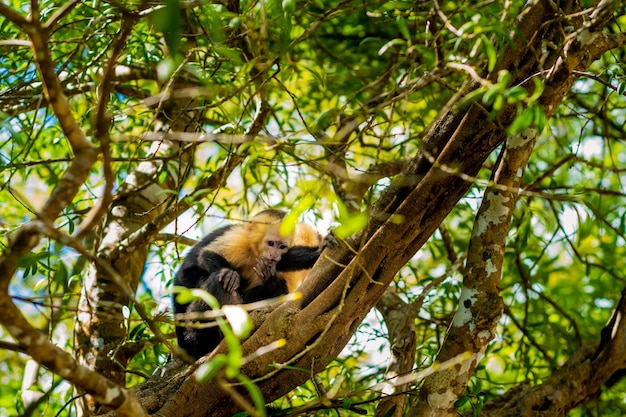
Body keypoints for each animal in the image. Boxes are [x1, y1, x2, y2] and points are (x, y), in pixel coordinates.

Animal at [173, 208, 334, 358]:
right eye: (271, 243)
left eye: (282, 247)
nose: (274, 255)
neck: (255, 252)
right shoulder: (239, 239)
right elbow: (207, 254)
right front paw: (229, 274)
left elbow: (286, 261)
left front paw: (318, 252)